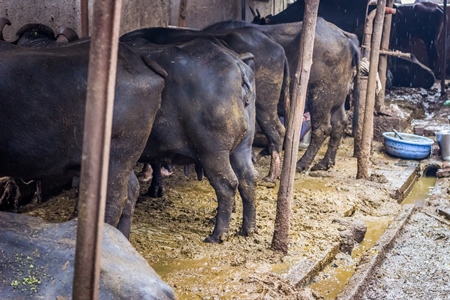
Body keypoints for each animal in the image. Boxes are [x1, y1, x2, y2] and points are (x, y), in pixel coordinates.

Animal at [121, 37, 258, 244]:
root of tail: (238, 65)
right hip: (243, 146)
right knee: (248, 179)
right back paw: (247, 229)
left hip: (213, 152)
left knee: (227, 184)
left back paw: (218, 234)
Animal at [206, 18, 360, 172]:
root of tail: (346, 37)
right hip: (337, 100)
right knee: (340, 123)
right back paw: (325, 162)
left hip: (320, 98)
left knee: (322, 129)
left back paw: (301, 164)